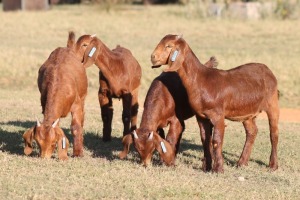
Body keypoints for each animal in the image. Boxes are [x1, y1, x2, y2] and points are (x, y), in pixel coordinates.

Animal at [151, 34, 280, 172]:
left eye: (168, 46)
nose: (153, 57)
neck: (201, 80)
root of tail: (268, 70)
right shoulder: (201, 116)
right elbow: (205, 139)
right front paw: (207, 167)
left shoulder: (218, 115)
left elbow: (216, 140)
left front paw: (218, 169)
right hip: (246, 112)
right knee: (252, 131)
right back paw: (241, 162)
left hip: (272, 103)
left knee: (274, 133)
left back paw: (273, 165)